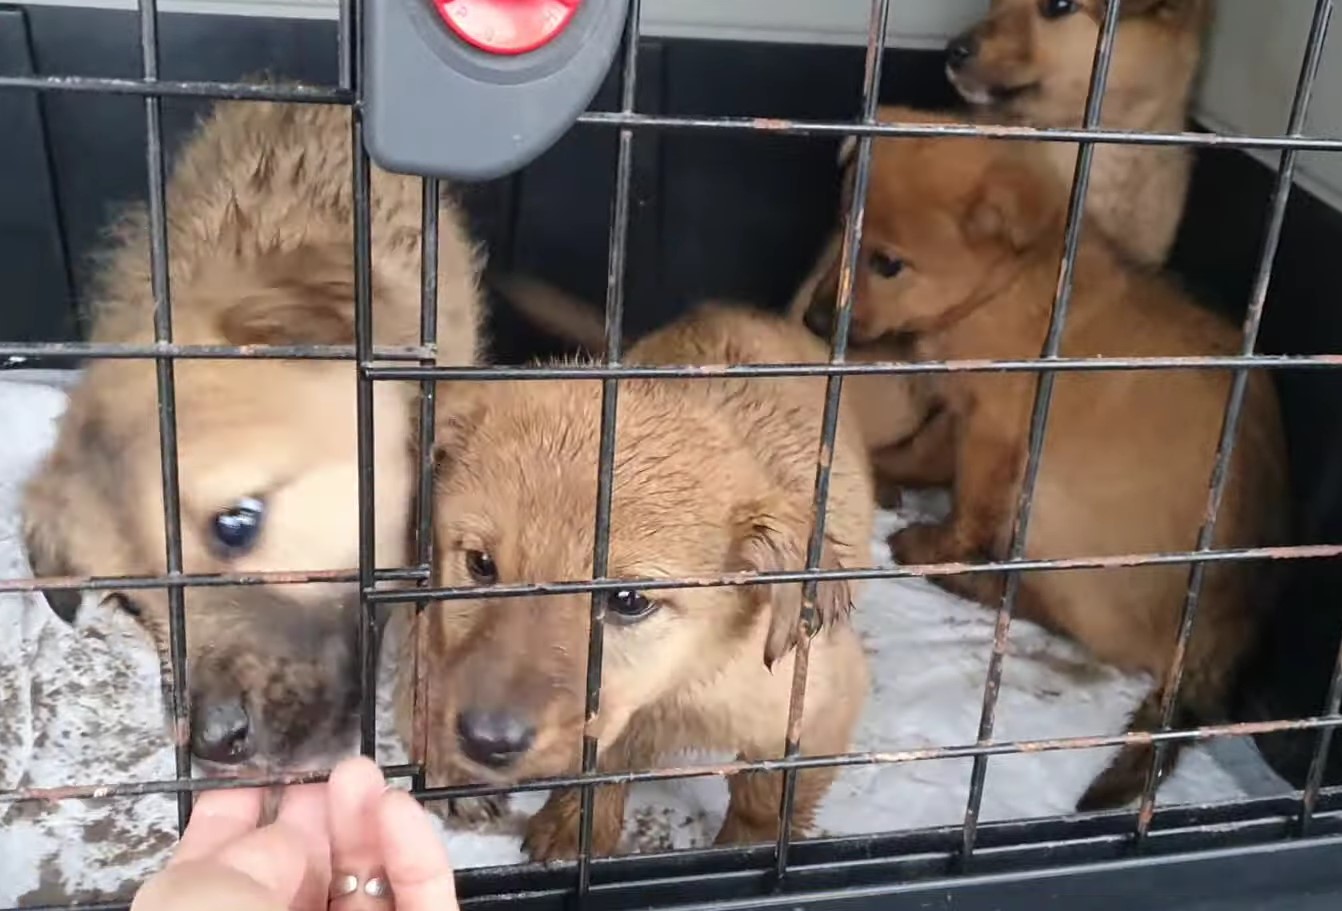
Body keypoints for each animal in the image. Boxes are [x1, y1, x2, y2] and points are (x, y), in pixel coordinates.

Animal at [407, 304, 869, 864]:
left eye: (628, 600)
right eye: (480, 563)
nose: (484, 742)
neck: (674, 683)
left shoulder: (819, 706)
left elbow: (766, 799)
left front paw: (747, 852)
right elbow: (603, 764)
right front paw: (573, 828)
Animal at [815, 106, 1288, 810]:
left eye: (889, 263)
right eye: (843, 223)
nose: (816, 323)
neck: (1009, 284)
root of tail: (1217, 625)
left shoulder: (995, 431)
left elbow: (965, 506)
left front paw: (935, 542)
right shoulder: (960, 406)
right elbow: (923, 453)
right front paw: (887, 474)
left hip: (1048, 508)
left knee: (1060, 616)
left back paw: (961, 576)